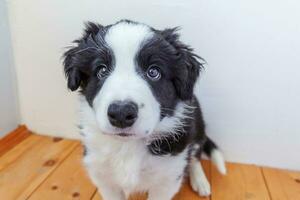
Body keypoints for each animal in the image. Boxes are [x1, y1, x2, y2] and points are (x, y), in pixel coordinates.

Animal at [63, 19, 227, 200]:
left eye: (153, 72)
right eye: (102, 70)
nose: (121, 114)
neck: (128, 147)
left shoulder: (167, 179)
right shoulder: (103, 177)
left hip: (197, 127)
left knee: (195, 156)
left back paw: (201, 181)